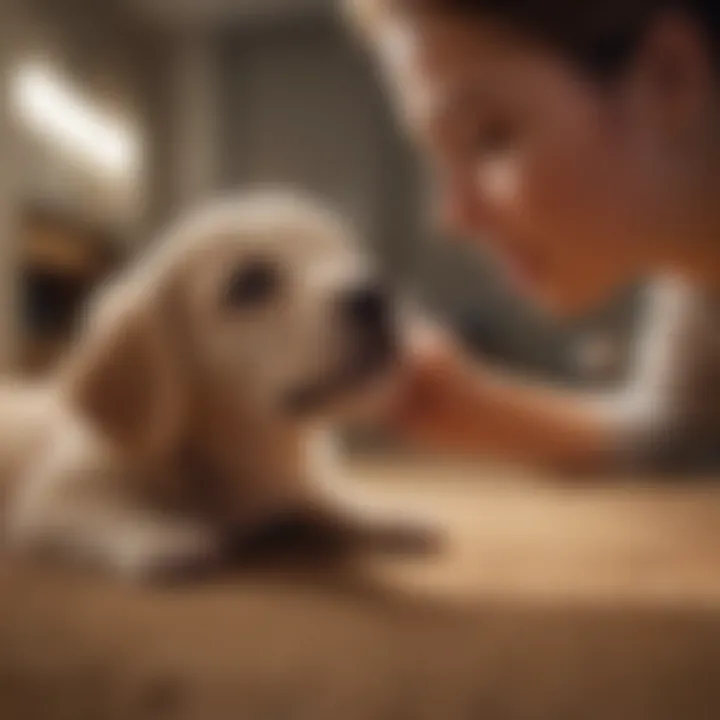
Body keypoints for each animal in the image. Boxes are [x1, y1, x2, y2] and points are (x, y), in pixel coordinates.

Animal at [1, 190, 438, 580]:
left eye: (344, 252)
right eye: (250, 283)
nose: (377, 295)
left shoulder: (296, 483)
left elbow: (328, 498)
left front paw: (383, 512)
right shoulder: (48, 498)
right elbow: (100, 510)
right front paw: (159, 535)